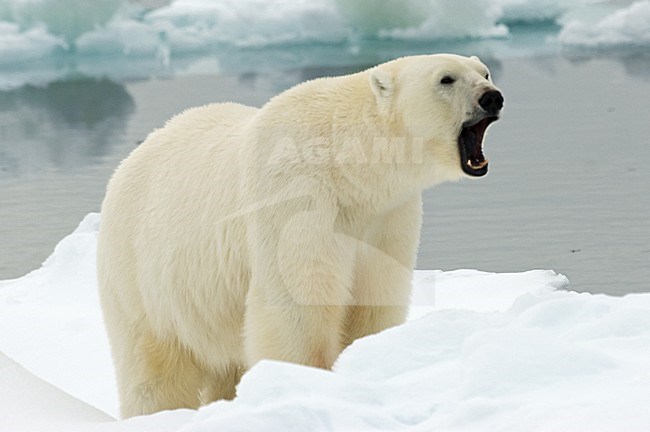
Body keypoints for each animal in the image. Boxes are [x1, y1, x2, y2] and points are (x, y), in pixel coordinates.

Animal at [96, 52, 502, 416]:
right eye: (445, 79)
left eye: (484, 71)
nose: (492, 97)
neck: (347, 165)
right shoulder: (296, 197)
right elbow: (297, 303)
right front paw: (306, 384)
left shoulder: (387, 216)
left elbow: (374, 296)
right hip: (140, 278)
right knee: (154, 369)